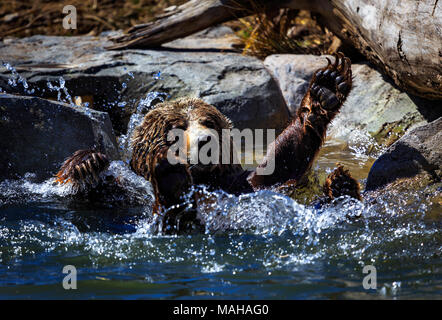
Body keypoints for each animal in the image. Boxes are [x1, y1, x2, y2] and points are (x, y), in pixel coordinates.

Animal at [55, 52, 360, 232]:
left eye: (209, 122)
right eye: (176, 128)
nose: (205, 141)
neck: (205, 182)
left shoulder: (243, 185)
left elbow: (283, 162)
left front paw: (325, 87)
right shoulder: (127, 202)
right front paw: (86, 162)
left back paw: (341, 186)